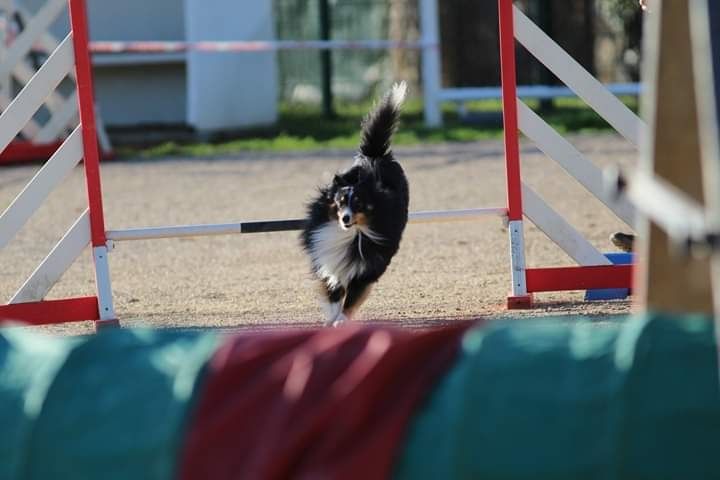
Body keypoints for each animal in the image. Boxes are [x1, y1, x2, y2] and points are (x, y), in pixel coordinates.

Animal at [300, 83, 410, 326]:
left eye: (359, 203)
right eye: (340, 202)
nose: (345, 218)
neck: (351, 234)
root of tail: (375, 154)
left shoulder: (366, 269)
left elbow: (351, 298)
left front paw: (341, 321)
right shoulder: (328, 263)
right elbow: (333, 293)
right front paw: (332, 320)